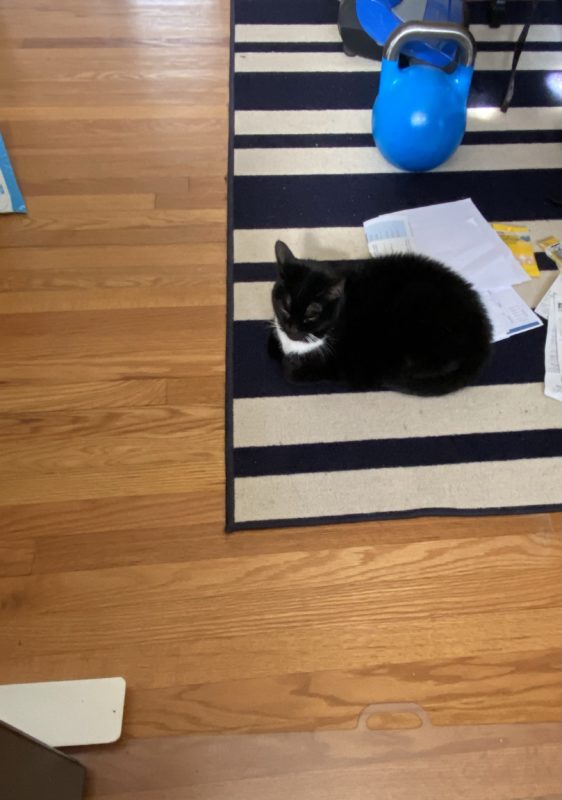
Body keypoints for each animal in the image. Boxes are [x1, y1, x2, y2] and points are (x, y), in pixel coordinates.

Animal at [266, 241, 490, 396]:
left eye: (312, 313)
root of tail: (484, 332)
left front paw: (291, 365)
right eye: (285, 306)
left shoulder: (339, 360)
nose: (292, 327)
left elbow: (296, 371)